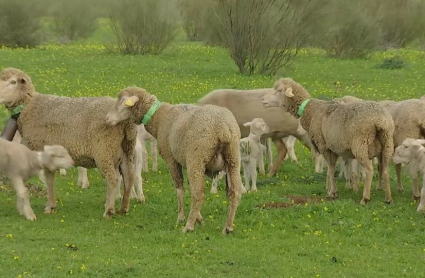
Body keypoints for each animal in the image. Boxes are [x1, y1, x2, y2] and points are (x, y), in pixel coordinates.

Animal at [0, 67, 137, 217]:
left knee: (112, 178)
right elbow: (50, 179)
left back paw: (109, 210)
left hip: (105, 149)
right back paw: (124, 208)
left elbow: (47, 179)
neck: (30, 106)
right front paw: (50, 206)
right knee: (129, 177)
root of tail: (126, 120)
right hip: (127, 149)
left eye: (13, 82)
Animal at [105, 87, 242, 235]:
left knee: (198, 193)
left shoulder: (171, 159)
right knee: (234, 192)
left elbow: (180, 188)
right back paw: (228, 227)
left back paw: (188, 226)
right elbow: (188, 186)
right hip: (233, 158)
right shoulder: (185, 160)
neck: (159, 117)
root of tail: (223, 128)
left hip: (197, 158)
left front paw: (182, 217)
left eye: (123, 101)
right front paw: (199, 218)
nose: (106, 118)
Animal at [262, 78, 394, 204]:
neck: (310, 109)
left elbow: (330, 168)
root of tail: (379, 120)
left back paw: (365, 198)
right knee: (385, 170)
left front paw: (332, 192)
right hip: (386, 144)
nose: (263, 99)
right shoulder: (333, 147)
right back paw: (388, 198)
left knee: (369, 170)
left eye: (279, 90)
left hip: (360, 145)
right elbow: (331, 168)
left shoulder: (324, 145)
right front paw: (331, 189)